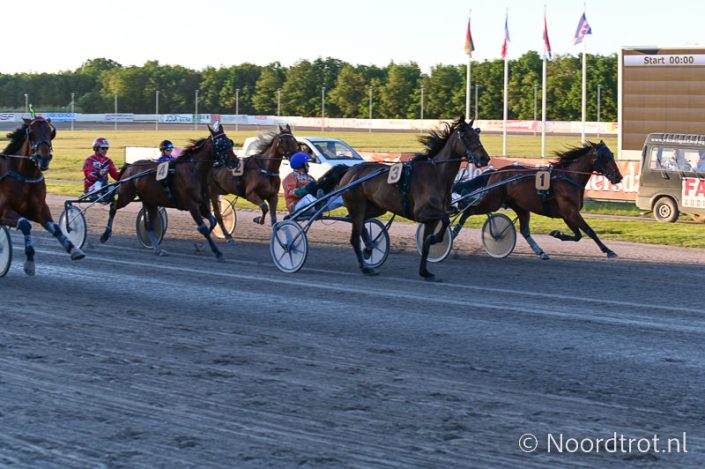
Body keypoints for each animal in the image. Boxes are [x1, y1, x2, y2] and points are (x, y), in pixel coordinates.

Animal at [0, 117, 85, 275]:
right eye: (31, 132)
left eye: (51, 132)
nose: (44, 157)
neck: (24, 176)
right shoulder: (3, 211)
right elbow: (25, 224)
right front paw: (29, 262)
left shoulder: (38, 209)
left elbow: (55, 228)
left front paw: (74, 250)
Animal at [100, 124, 238, 260]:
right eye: (221, 144)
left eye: (230, 142)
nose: (235, 161)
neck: (194, 171)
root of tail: (130, 166)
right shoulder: (191, 205)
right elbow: (203, 227)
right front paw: (216, 251)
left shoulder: (202, 203)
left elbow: (213, 221)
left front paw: (200, 246)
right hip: (126, 195)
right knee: (113, 207)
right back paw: (105, 235)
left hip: (150, 202)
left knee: (149, 226)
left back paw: (157, 249)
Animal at [338, 117, 490, 281]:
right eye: (467, 137)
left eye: (477, 136)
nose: (485, 158)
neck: (436, 175)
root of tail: (350, 170)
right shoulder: (422, 212)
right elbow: (445, 219)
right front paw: (435, 240)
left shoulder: (431, 219)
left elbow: (427, 242)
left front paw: (425, 271)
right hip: (358, 206)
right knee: (354, 235)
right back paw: (365, 267)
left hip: (376, 208)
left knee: (359, 222)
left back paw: (368, 246)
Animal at [454, 140, 623, 259]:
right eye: (604, 157)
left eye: (612, 155)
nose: (619, 177)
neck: (568, 178)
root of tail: (495, 172)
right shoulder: (570, 212)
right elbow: (589, 231)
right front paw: (608, 250)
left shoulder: (567, 215)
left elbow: (578, 235)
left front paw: (557, 233)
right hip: (492, 201)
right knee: (468, 210)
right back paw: (455, 231)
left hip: (521, 207)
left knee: (524, 230)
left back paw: (540, 252)